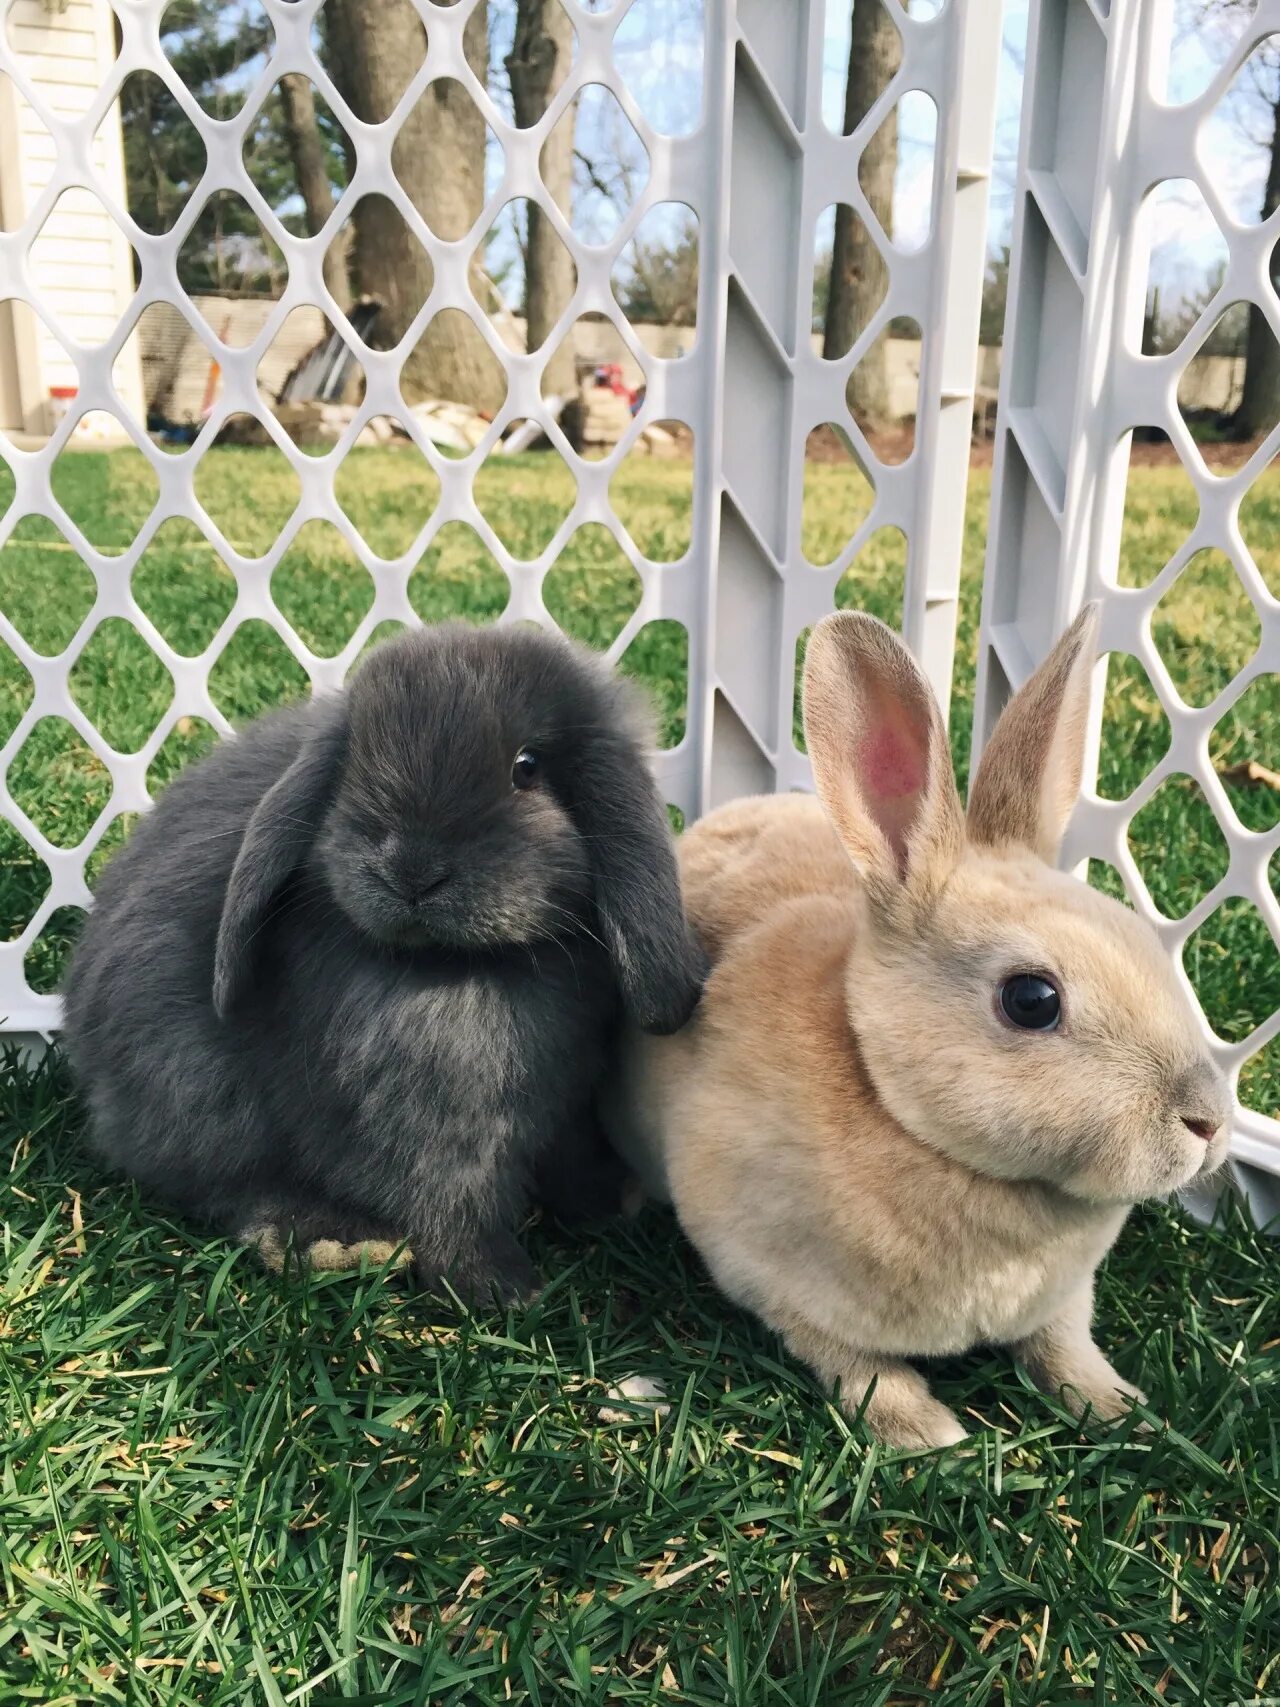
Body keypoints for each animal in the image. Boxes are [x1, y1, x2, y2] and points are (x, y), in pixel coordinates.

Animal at [610, 607, 1235, 1447]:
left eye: (1143, 938)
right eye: (1031, 999)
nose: (1209, 1121)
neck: (904, 1114)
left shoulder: (1064, 1303)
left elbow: (1064, 1345)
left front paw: (1120, 1408)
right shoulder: (778, 1286)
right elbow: (859, 1366)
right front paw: (930, 1434)